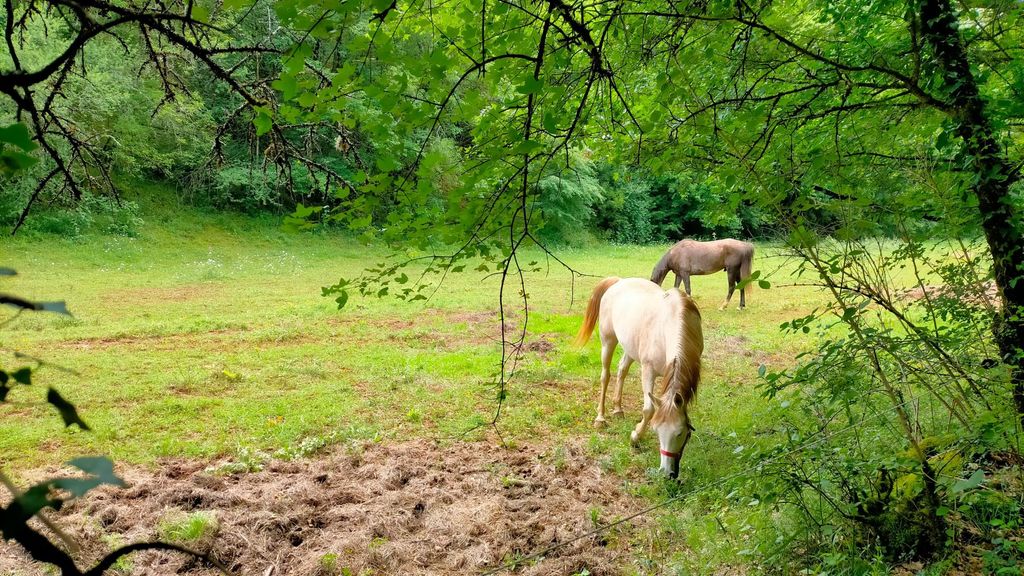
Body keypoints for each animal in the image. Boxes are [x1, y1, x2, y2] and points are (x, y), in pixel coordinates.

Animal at [569, 276, 704, 477]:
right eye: (656, 430)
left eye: (681, 433)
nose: (667, 472)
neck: (670, 325)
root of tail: (618, 281)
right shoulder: (648, 371)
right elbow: (648, 410)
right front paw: (635, 437)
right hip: (608, 342)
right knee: (605, 376)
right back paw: (600, 418)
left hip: (630, 349)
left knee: (622, 370)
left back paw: (618, 409)